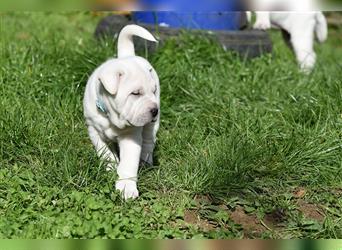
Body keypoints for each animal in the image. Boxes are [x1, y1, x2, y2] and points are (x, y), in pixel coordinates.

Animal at [85, 24, 161, 200]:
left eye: (153, 91)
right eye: (135, 93)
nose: (155, 110)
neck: (111, 117)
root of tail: (128, 55)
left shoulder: (131, 136)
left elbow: (128, 163)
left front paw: (126, 187)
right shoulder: (93, 130)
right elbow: (104, 152)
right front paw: (111, 167)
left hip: (151, 126)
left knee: (149, 141)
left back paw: (146, 162)